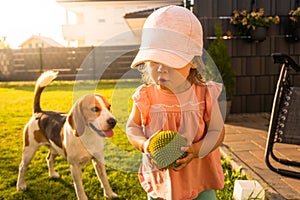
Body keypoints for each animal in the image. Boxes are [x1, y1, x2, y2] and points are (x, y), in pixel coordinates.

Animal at [16, 71, 117, 199]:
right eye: (95, 109)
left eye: (109, 107)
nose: (113, 121)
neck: (88, 136)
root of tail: (39, 112)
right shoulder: (75, 167)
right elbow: (79, 187)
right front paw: (83, 197)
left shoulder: (99, 161)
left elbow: (105, 180)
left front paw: (109, 194)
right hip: (29, 150)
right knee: (22, 167)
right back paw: (20, 185)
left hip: (54, 148)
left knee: (49, 159)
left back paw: (53, 174)